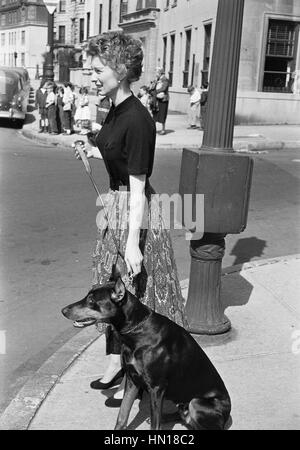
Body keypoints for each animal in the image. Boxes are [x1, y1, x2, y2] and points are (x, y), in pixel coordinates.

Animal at [61, 268, 232, 430]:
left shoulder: (156, 388)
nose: (63, 310)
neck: (137, 330)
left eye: (91, 300)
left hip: (196, 402)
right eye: (87, 296)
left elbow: (155, 426)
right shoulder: (132, 379)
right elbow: (122, 414)